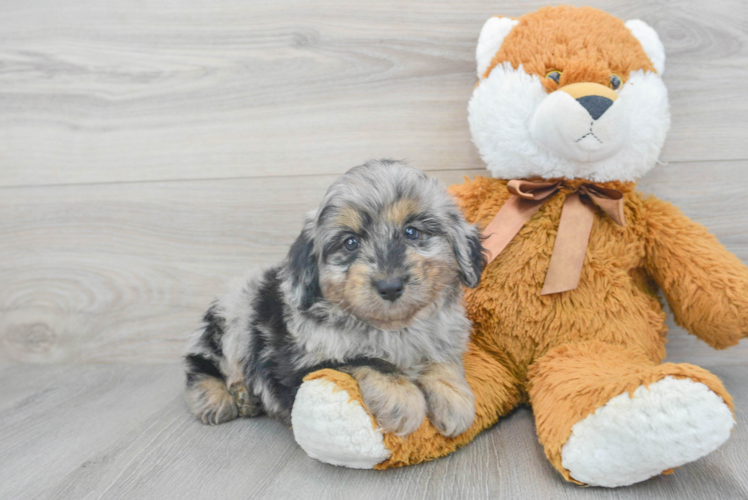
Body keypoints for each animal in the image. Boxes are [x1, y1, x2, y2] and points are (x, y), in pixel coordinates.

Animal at [184, 160, 482, 438]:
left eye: (412, 232)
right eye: (350, 243)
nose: (390, 286)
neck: (391, 329)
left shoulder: (440, 337)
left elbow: (442, 360)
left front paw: (454, 398)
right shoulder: (298, 366)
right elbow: (364, 360)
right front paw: (401, 398)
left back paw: (245, 397)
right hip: (230, 321)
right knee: (200, 363)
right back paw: (218, 398)